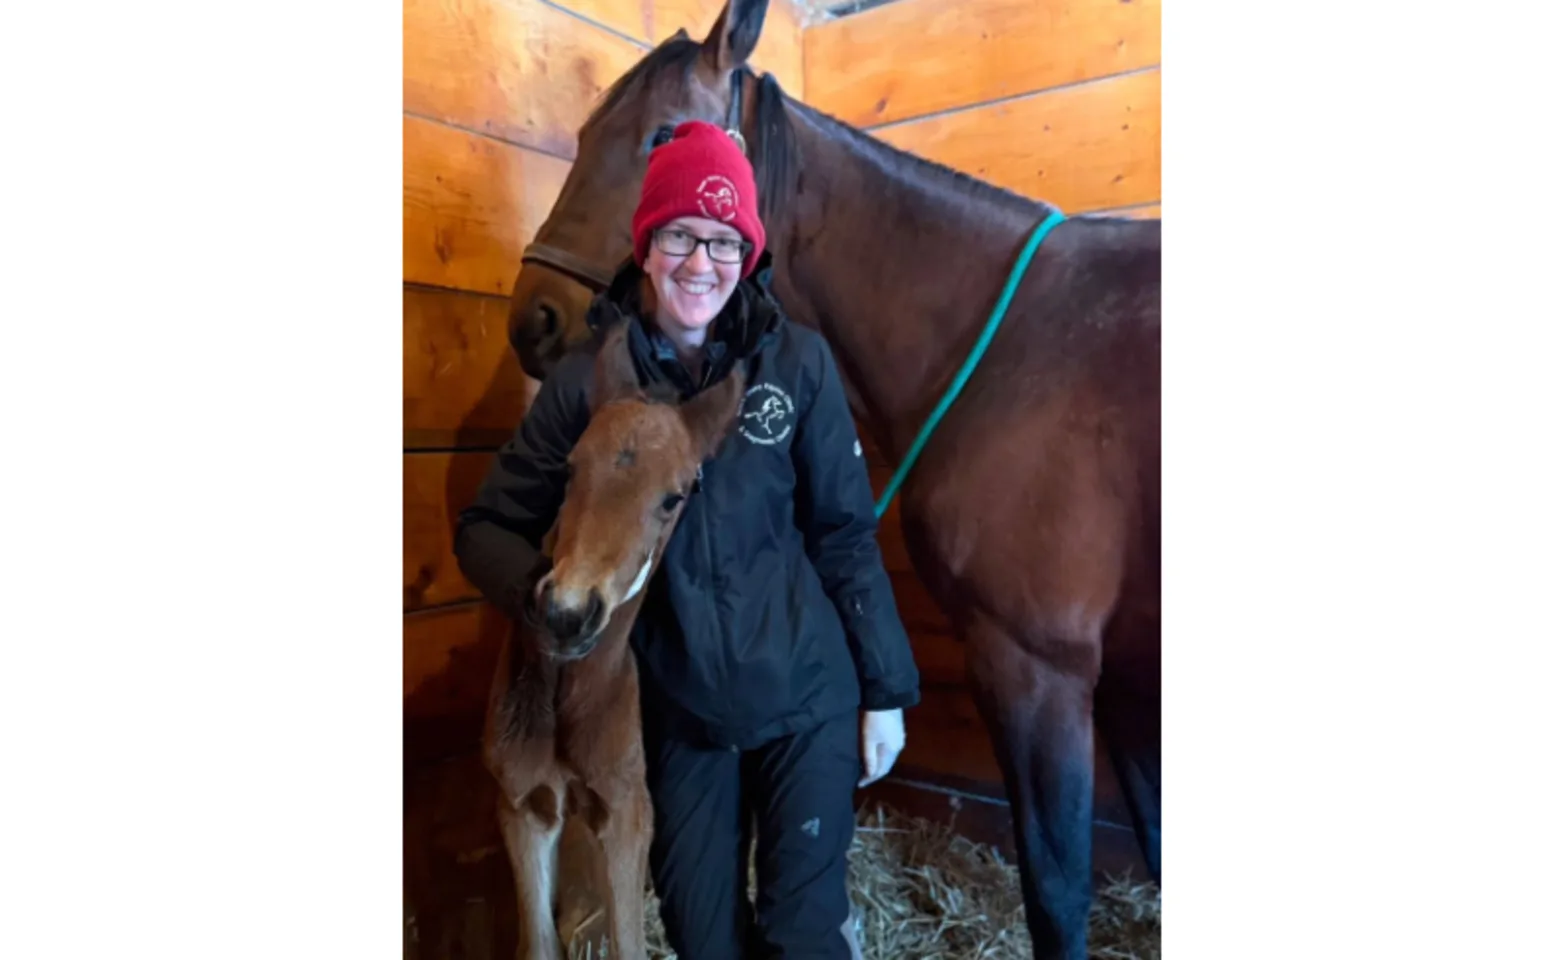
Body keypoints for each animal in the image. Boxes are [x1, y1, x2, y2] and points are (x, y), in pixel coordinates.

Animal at [481, 319, 747, 960]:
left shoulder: (628, 814)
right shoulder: (522, 805)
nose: (566, 613)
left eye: (674, 497)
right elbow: (539, 945)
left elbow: (629, 943)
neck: (569, 699)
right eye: (571, 466)